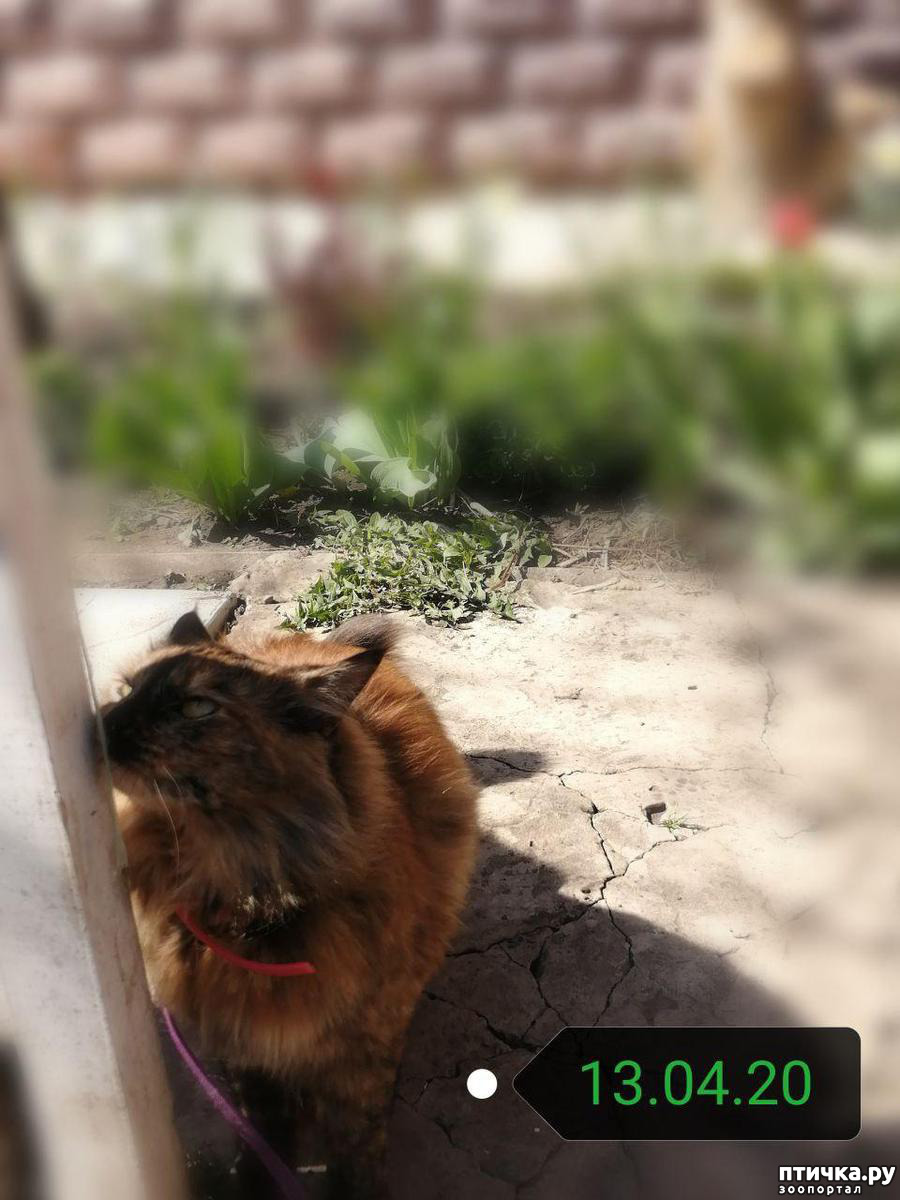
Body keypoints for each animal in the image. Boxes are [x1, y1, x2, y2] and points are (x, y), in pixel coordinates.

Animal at [100, 612, 478, 1199]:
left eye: (196, 707)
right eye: (124, 691)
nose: (102, 722)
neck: (247, 899)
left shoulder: (361, 1049)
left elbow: (357, 1143)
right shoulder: (240, 1042)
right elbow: (261, 1125)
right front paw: (256, 1179)